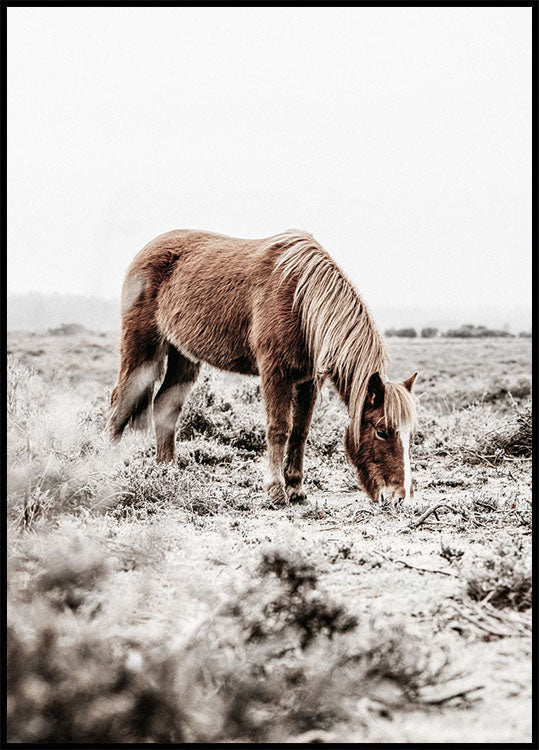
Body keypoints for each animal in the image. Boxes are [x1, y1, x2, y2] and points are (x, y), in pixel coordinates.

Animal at [109, 231, 420, 506]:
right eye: (381, 431)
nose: (398, 497)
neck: (299, 301)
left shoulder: (309, 381)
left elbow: (300, 432)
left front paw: (296, 489)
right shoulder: (275, 372)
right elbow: (279, 428)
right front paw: (276, 491)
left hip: (183, 355)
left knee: (165, 407)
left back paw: (167, 472)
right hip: (142, 349)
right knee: (120, 403)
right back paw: (107, 466)